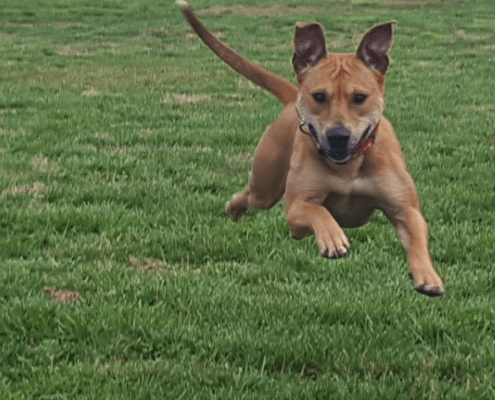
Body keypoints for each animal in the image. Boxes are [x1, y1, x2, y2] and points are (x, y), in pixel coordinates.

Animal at [178, 1, 446, 296]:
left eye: (359, 97)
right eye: (319, 96)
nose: (338, 135)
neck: (348, 167)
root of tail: (289, 99)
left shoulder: (404, 208)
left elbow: (417, 235)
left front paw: (428, 275)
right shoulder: (297, 205)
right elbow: (318, 211)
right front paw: (332, 237)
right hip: (266, 184)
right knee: (253, 197)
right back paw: (234, 208)